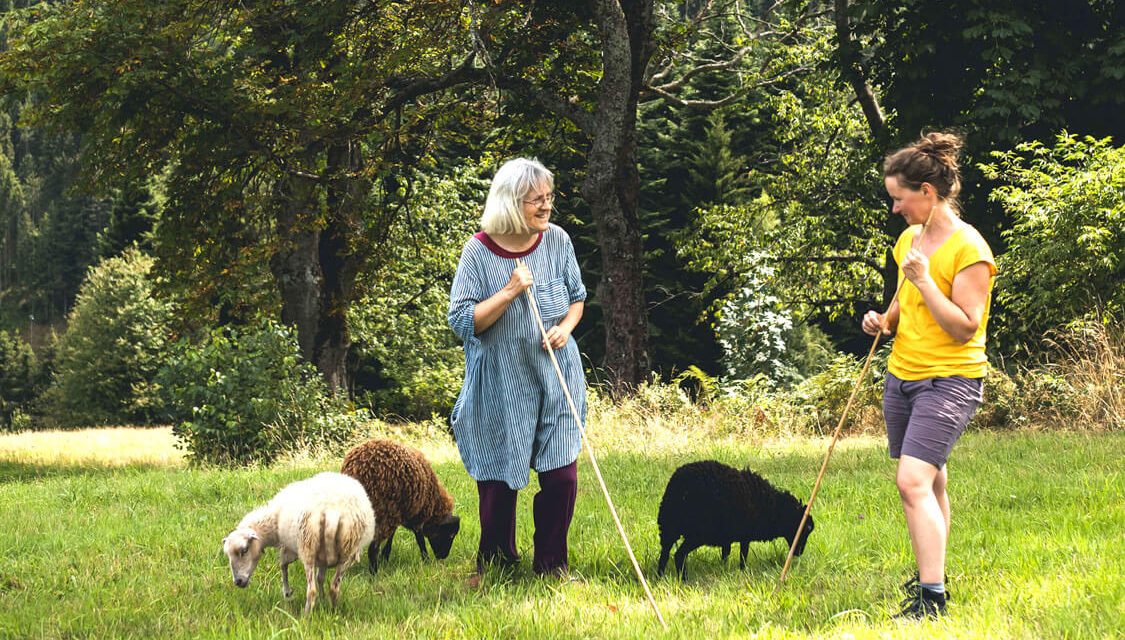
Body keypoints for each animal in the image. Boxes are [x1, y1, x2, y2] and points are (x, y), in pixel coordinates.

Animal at [221, 470, 375, 611]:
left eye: (244, 550)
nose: (238, 582)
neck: (273, 522)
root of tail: (333, 511)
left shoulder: (288, 547)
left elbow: (282, 565)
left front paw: (287, 593)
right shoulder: (322, 558)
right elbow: (320, 578)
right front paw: (322, 599)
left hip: (308, 546)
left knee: (311, 590)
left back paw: (306, 617)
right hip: (348, 552)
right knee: (334, 588)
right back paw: (333, 611)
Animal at [339, 436, 459, 571]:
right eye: (450, 535)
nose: (442, 557)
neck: (434, 503)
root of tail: (359, 467)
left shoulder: (398, 514)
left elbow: (391, 537)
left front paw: (385, 557)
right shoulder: (416, 517)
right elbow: (420, 540)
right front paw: (426, 560)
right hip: (381, 512)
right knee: (373, 547)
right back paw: (374, 572)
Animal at [657, 458, 814, 580]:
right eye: (806, 528)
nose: (799, 552)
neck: (772, 506)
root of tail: (677, 486)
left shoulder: (727, 537)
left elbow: (725, 554)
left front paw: (724, 570)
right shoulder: (745, 535)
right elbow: (743, 556)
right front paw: (743, 572)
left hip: (669, 527)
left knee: (664, 554)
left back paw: (660, 578)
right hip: (696, 533)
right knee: (679, 555)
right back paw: (684, 580)